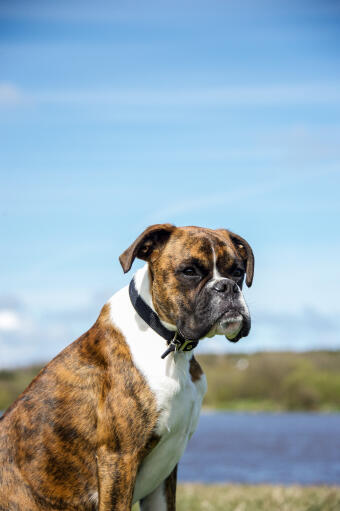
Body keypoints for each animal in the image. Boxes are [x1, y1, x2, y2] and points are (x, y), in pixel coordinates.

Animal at [0, 225, 254, 511]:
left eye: (238, 272)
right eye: (189, 271)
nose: (227, 286)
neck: (170, 345)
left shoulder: (164, 473)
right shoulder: (119, 459)